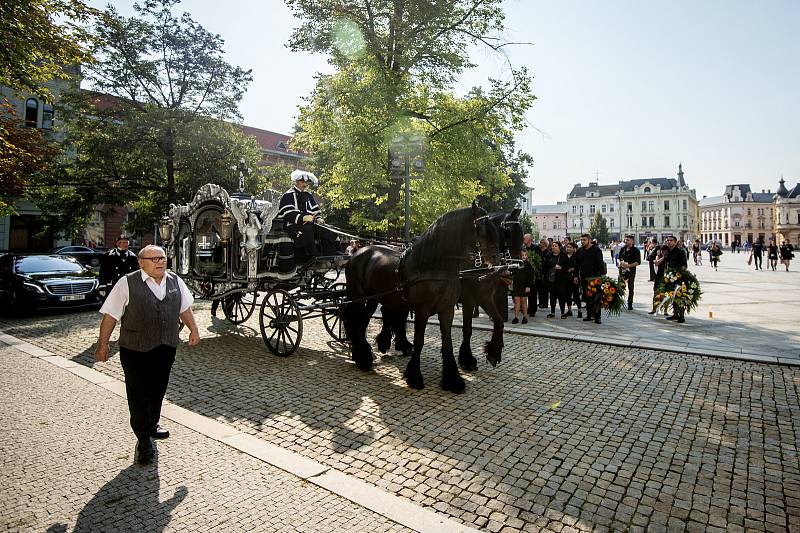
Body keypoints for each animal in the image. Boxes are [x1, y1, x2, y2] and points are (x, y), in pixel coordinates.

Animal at [342, 202, 500, 392]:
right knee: (355, 319)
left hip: (374, 298)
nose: (496, 259)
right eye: (481, 229)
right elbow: (419, 341)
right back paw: (363, 357)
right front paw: (414, 376)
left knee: (363, 321)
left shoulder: (447, 309)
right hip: (357, 296)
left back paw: (364, 354)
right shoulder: (422, 310)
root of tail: (358, 252)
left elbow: (448, 342)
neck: (434, 267)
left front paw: (452, 379)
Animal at [378, 208, 528, 370]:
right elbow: (467, 329)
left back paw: (401, 344)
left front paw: (493, 353)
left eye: (521, 233)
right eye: (508, 232)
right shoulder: (469, 300)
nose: (516, 267)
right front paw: (467, 359)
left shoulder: (485, 298)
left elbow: (499, 321)